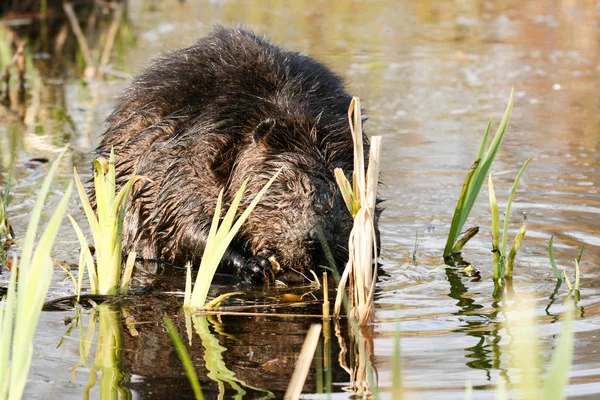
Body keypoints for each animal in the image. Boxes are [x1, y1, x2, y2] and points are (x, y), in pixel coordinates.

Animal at [96, 26, 382, 282]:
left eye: (345, 188)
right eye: (288, 184)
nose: (318, 238)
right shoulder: (191, 157)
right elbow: (185, 223)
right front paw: (256, 265)